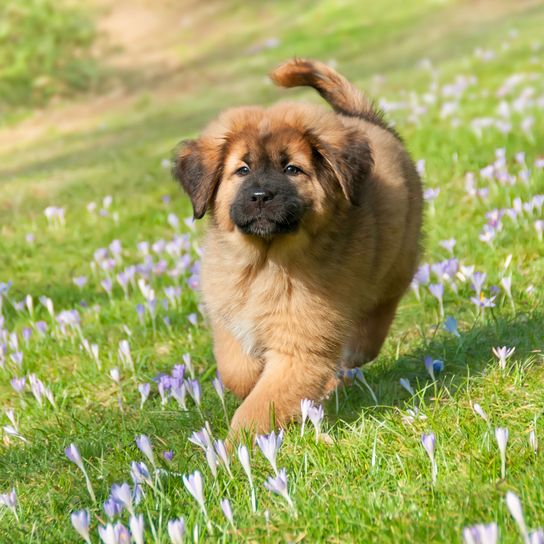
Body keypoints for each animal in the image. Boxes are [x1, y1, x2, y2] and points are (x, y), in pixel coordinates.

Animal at [172, 58, 422, 434]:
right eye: (242, 170)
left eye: (292, 169)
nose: (261, 196)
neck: (264, 262)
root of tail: (368, 121)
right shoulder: (228, 316)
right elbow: (236, 371)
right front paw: (250, 380)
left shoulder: (301, 348)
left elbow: (258, 408)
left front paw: (235, 447)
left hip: (394, 268)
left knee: (371, 326)